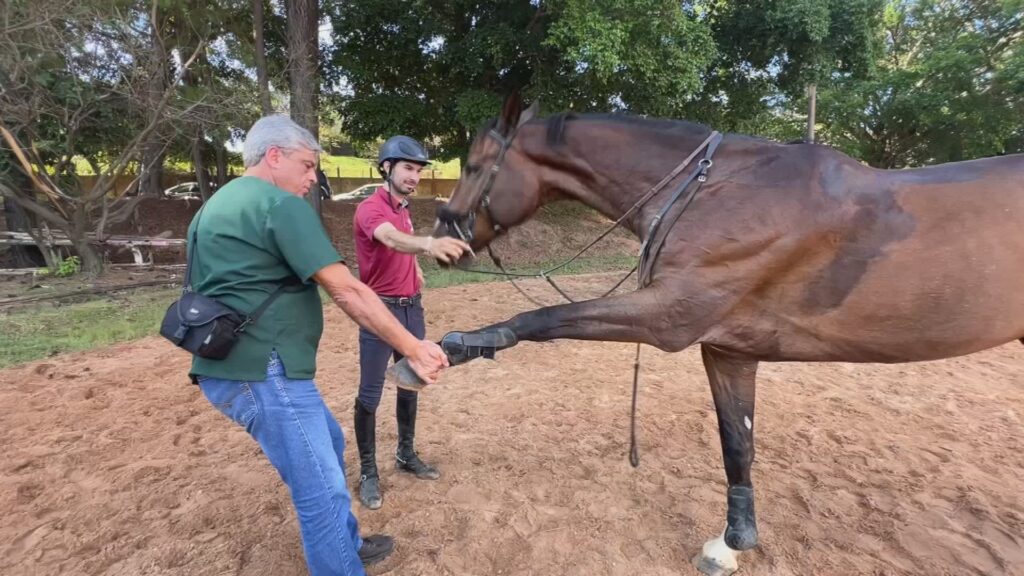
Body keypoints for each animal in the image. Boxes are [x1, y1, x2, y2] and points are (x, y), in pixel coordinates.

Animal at [391, 94, 1024, 575]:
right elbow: (737, 443)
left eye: (476, 166)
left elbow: (538, 321)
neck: (720, 193)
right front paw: (733, 542)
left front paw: (446, 350)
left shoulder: (669, 317)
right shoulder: (728, 348)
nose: (443, 239)